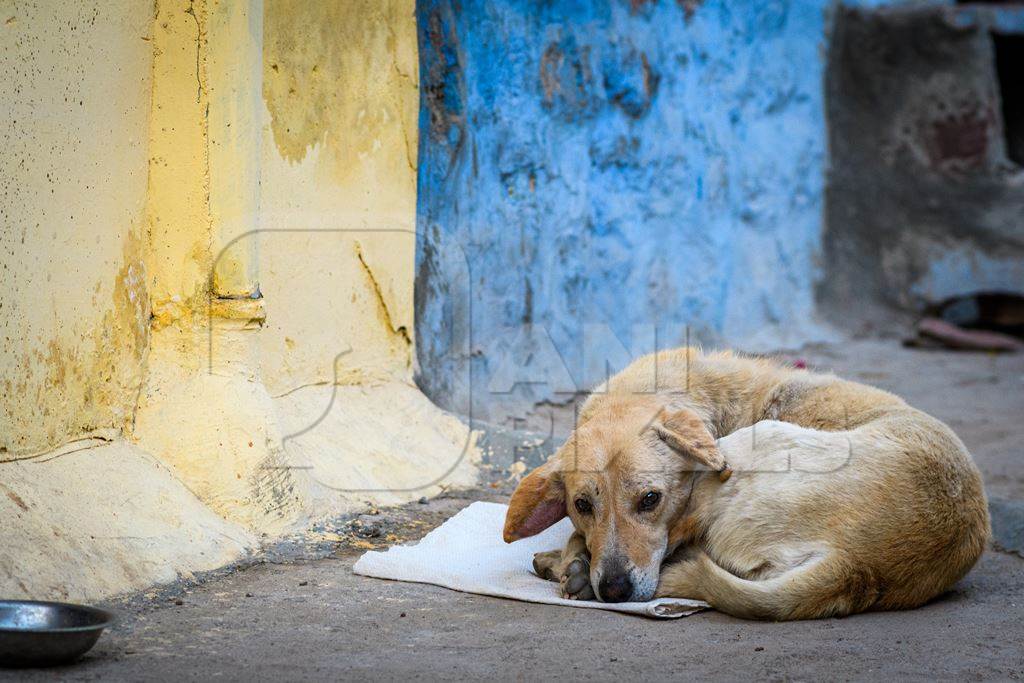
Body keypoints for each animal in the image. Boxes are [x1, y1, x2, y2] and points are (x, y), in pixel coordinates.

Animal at [503, 350, 991, 622]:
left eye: (650, 500)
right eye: (583, 504)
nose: (616, 591)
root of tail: (856, 566)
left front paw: (569, 559)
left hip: (751, 444)